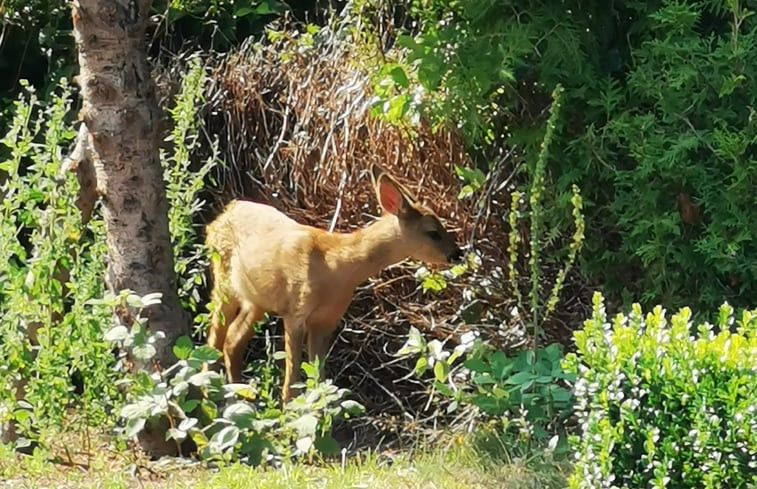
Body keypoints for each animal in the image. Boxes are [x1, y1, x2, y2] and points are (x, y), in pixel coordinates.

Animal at [204, 164, 460, 400]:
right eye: (433, 232)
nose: (456, 254)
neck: (337, 268)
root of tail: (223, 214)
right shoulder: (296, 310)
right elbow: (292, 381)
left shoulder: (327, 320)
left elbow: (320, 379)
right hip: (223, 281)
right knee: (214, 339)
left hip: (257, 300)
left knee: (232, 340)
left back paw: (239, 395)